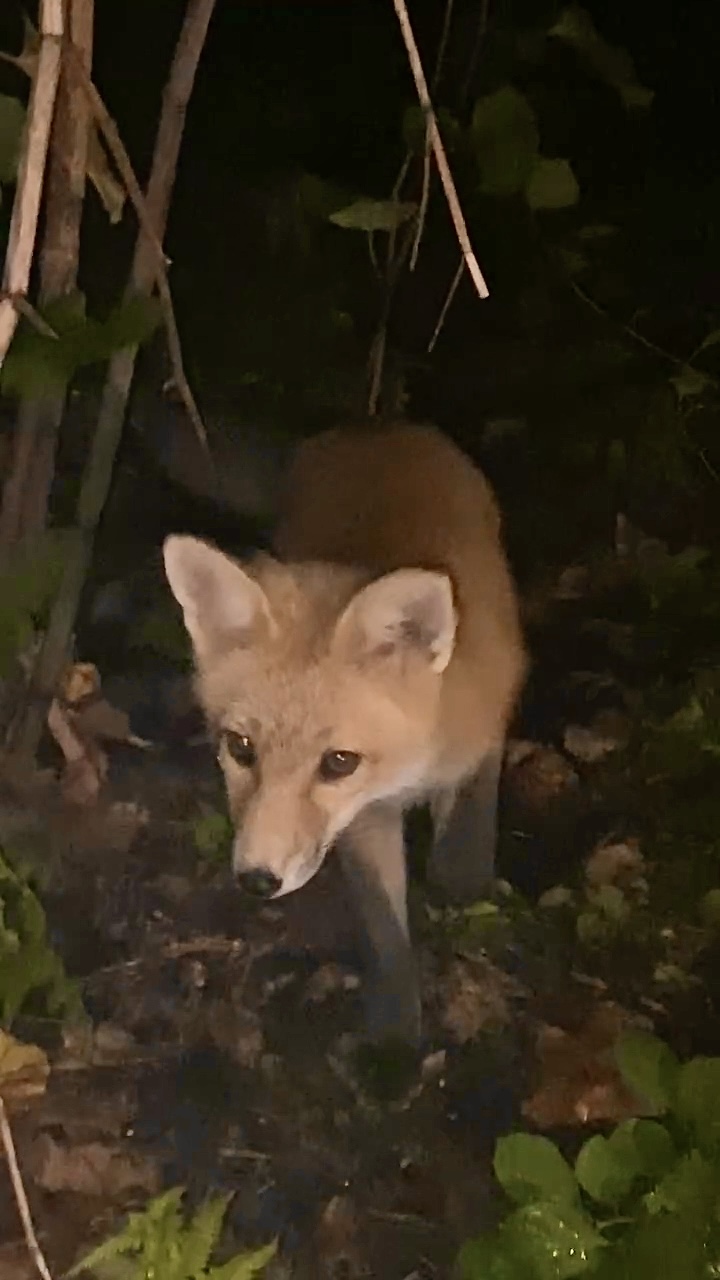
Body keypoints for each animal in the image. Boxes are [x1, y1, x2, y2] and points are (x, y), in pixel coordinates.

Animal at [162, 420, 527, 1044]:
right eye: (240, 748)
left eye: (338, 762)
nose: (256, 880)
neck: (413, 763)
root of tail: (372, 426)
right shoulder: (366, 817)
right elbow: (385, 927)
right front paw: (395, 1032)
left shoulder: (485, 717)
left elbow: (471, 815)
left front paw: (463, 876)